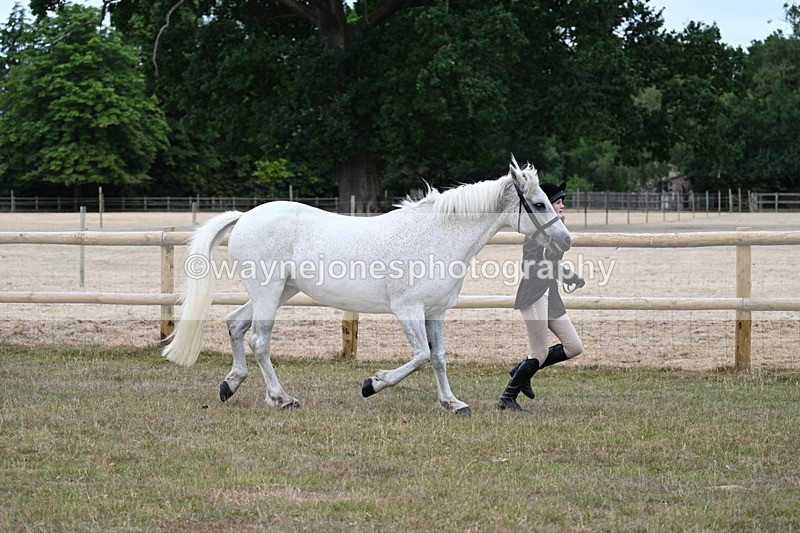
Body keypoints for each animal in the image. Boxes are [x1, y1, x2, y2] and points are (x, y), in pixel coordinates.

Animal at [162, 157, 571, 415]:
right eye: (538, 204)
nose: (566, 241)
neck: (437, 235)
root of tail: (246, 216)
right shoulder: (407, 310)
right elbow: (421, 357)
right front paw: (372, 384)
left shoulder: (435, 312)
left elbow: (438, 358)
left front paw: (453, 404)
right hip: (268, 291)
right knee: (259, 340)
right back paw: (282, 398)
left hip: (281, 291)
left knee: (235, 323)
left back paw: (230, 385)